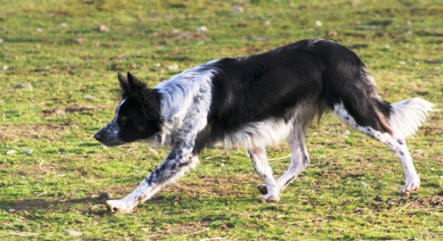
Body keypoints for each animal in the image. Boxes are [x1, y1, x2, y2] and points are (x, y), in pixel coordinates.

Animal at [94, 39, 434, 213]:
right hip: (295, 119)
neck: (172, 101)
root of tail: (348, 53)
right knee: (301, 159)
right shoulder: (253, 136)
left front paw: (121, 204)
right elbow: (263, 169)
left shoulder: (184, 153)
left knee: (397, 139)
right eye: (116, 116)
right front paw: (272, 193)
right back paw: (277, 189)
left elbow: (149, 180)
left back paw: (411, 183)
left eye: (124, 119)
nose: (97, 135)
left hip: (354, 111)